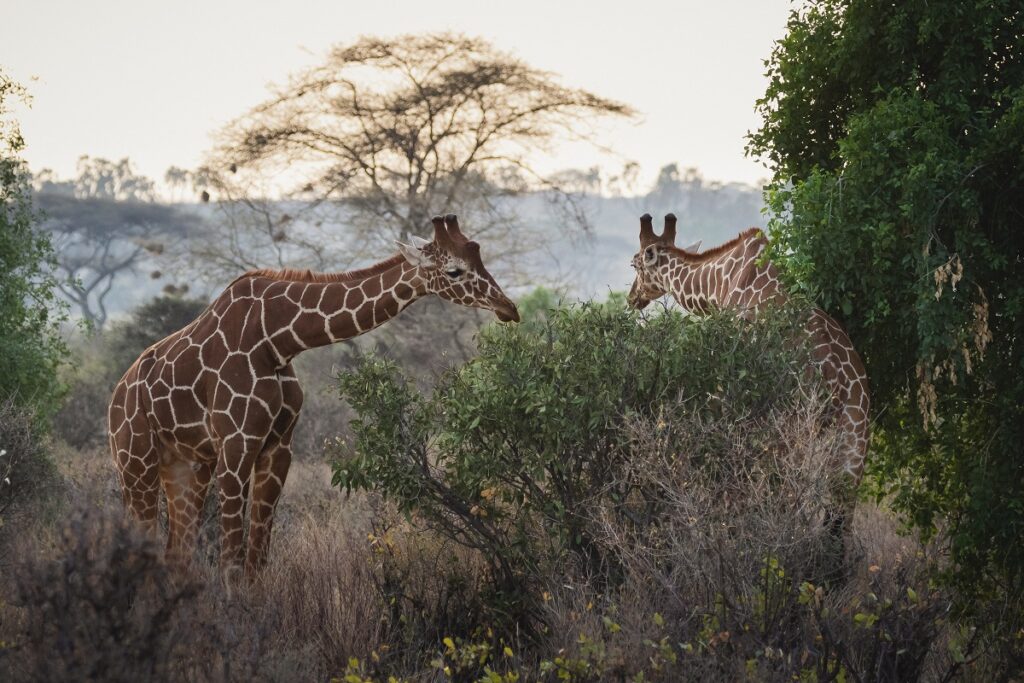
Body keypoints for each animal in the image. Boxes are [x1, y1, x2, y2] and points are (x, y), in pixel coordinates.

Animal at [110, 214, 520, 581]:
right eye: (454, 271)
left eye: (479, 257)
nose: (509, 308)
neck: (276, 339)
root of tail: (116, 397)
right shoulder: (236, 444)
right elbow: (231, 564)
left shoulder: (278, 447)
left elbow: (256, 563)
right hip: (135, 465)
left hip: (186, 466)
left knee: (175, 556)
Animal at [626, 214, 868, 524]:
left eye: (635, 264)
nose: (632, 298)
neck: (718, 285)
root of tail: (837, 384)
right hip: (853, 451)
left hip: (793, 436)